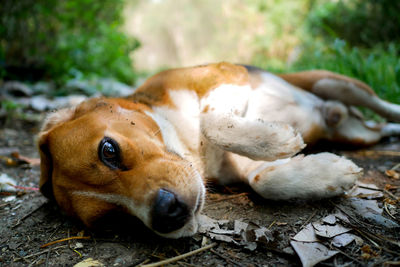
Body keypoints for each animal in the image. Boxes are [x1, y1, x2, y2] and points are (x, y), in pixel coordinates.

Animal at [37, 62, 400, 239]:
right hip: (357, 134)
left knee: (385, 108)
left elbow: (211, 120)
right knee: (377, 128)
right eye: (112, 222)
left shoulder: (223, 75)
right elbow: (265, 180)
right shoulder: (247, 170)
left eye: (108, 151)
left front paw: (277, 139)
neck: (191, 145)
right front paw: (331, 172)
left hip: (336, 83)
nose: (167, 213)